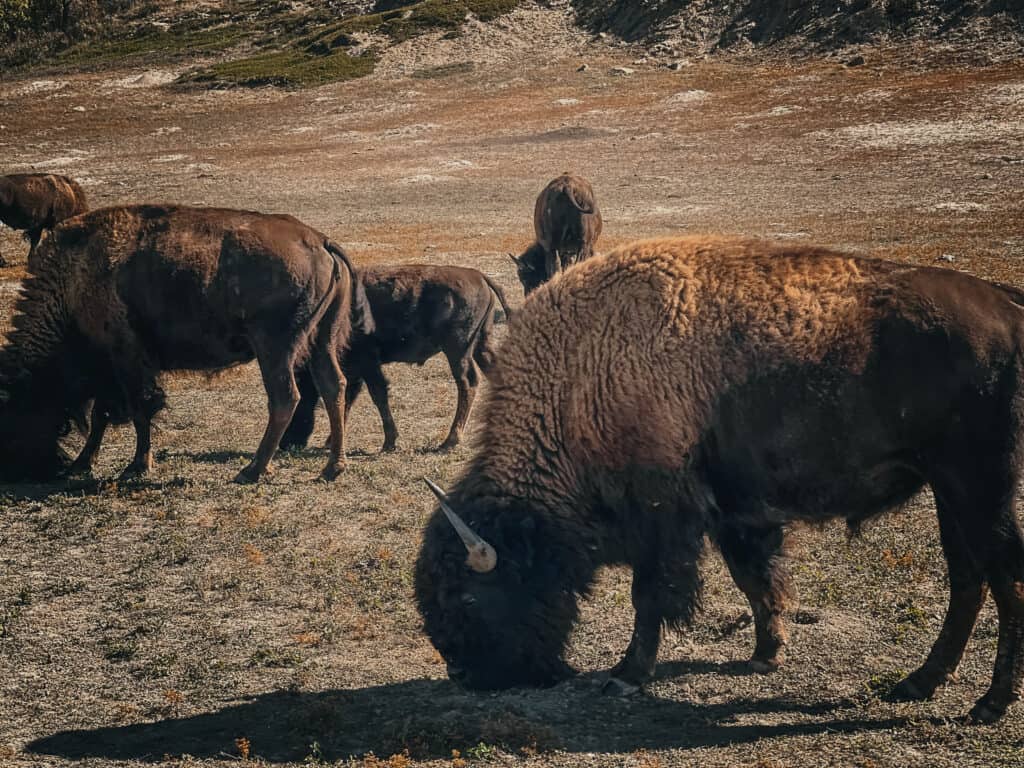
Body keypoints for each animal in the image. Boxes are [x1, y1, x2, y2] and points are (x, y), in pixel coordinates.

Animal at [0, 202, 368, 481]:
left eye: (15, 417)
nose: (25, 471)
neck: (73, 282)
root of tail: (319, 240)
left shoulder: (126, 362)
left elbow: (138, 411)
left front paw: (136, 466)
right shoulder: (111, 369)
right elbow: (104, 416)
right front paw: (83, 463)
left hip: (273, 347)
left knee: (285, 397)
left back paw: (252, 470)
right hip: (321, 340)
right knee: (333, 386)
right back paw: (332, 468)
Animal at [280, 264, 512, 456]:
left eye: (303, 396)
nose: (286, 443)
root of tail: (478, 276)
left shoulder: (368, 364)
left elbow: (378, 395)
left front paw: (389, 442)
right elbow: (349, 398)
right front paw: (331, 441)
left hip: (458, 350)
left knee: (468, 383)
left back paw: (450, 441)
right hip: (481, 344)